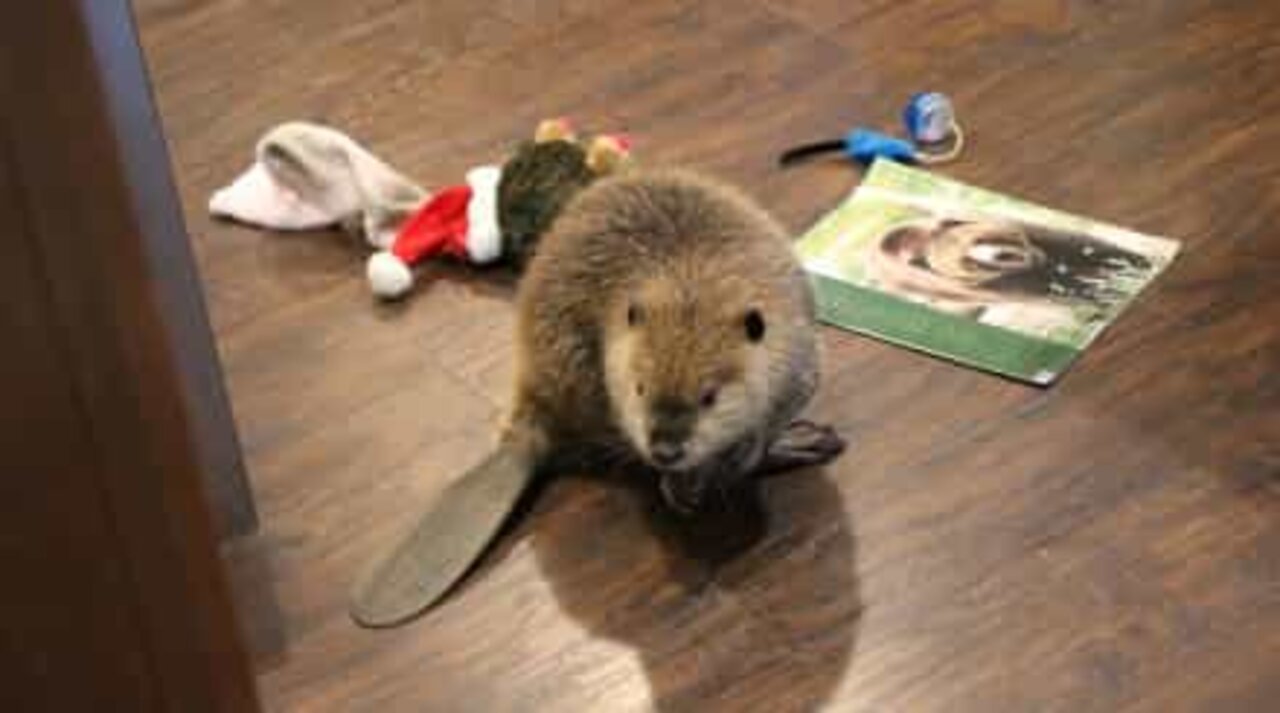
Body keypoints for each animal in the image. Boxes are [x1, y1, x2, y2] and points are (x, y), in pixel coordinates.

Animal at [355, 165, 844, 622]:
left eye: (709, 397)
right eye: (641, 388)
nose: (666, 450)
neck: (691, 278)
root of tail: (525, 438)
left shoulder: (799, 353)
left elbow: (775, 411)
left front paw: (738, 453)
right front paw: (684, 486)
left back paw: (805, 441)